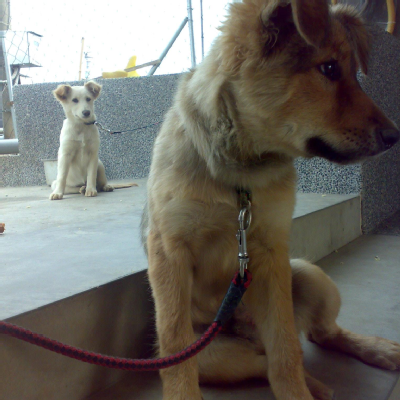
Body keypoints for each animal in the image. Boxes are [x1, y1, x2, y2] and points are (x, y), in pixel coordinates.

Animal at [142, 0, 400, 399]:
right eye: (329, 68)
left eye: (356, 74)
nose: (394, 136)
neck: (240, 172)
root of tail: (248, 333)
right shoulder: (169, 250)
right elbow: (175, 343)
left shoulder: (270, 248)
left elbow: (286, 350)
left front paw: (297, 392)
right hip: (214, 355)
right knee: (262, 362)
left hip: (312, 276)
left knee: (314, 338)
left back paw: (373, 351)